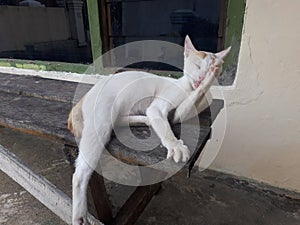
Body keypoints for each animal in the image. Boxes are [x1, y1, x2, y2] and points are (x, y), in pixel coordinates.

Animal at [69, 36, 231, 224]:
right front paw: (175, 146)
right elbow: (166, 128)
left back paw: (143, 120)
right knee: (80, 173)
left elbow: (185, 107)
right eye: (197, 66)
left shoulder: (178, 115)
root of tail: (85, 96)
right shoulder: (158, 108)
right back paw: (79, 215)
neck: (189, 88)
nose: (202, 76)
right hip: (100, 123)